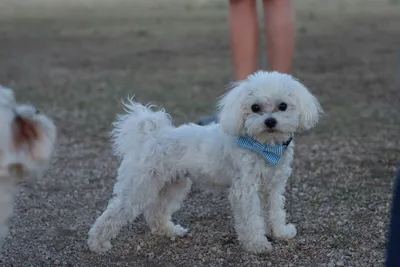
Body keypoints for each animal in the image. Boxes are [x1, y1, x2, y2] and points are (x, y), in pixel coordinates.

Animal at [86, 71, 322, 255]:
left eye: (283, 105)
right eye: (255, 107)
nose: (270, 121)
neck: (264, 146)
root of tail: (150, 137)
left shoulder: (272, 187)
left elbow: (275, 212)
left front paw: (280, 233)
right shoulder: (245, 190)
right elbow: (251, 219)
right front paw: (257, 244)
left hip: (175, 185)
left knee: (156, 213)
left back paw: (169, 231)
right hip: (139, 188)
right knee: (112, 214)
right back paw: (98, 244)